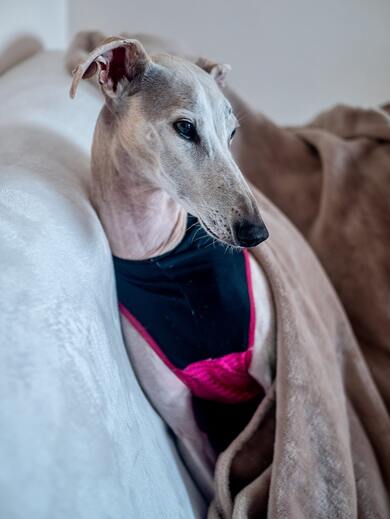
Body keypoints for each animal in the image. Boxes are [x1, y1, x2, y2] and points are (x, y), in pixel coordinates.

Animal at [66, 32, 274, 500]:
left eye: (232, 133)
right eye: (185, 128)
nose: (256, 232)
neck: (162, 255)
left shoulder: (270, 381)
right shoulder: (185, 427)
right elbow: (219, 489)